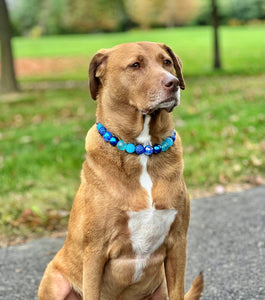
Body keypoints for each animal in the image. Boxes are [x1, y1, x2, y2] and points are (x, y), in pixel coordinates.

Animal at [37, 42, 202, 300]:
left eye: (166, 62)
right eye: (135, 65)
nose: (173, 83)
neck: (142, 149)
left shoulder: (177, 243)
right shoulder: (95, 252)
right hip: (54, 282)